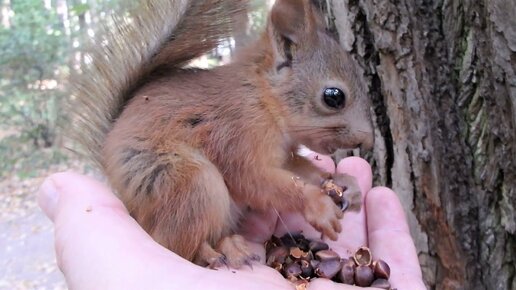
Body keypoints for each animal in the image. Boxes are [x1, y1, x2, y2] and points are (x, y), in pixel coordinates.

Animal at [70, 0, 372, 270]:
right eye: (333, 97)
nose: (366, 140)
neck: (264, 99)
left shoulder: (282, 154)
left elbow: (299, 169)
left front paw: (344, 183)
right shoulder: (236, 136)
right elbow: (255, 180)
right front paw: (317, 204)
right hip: (189, 181)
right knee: (173, 246)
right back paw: (219, 253)